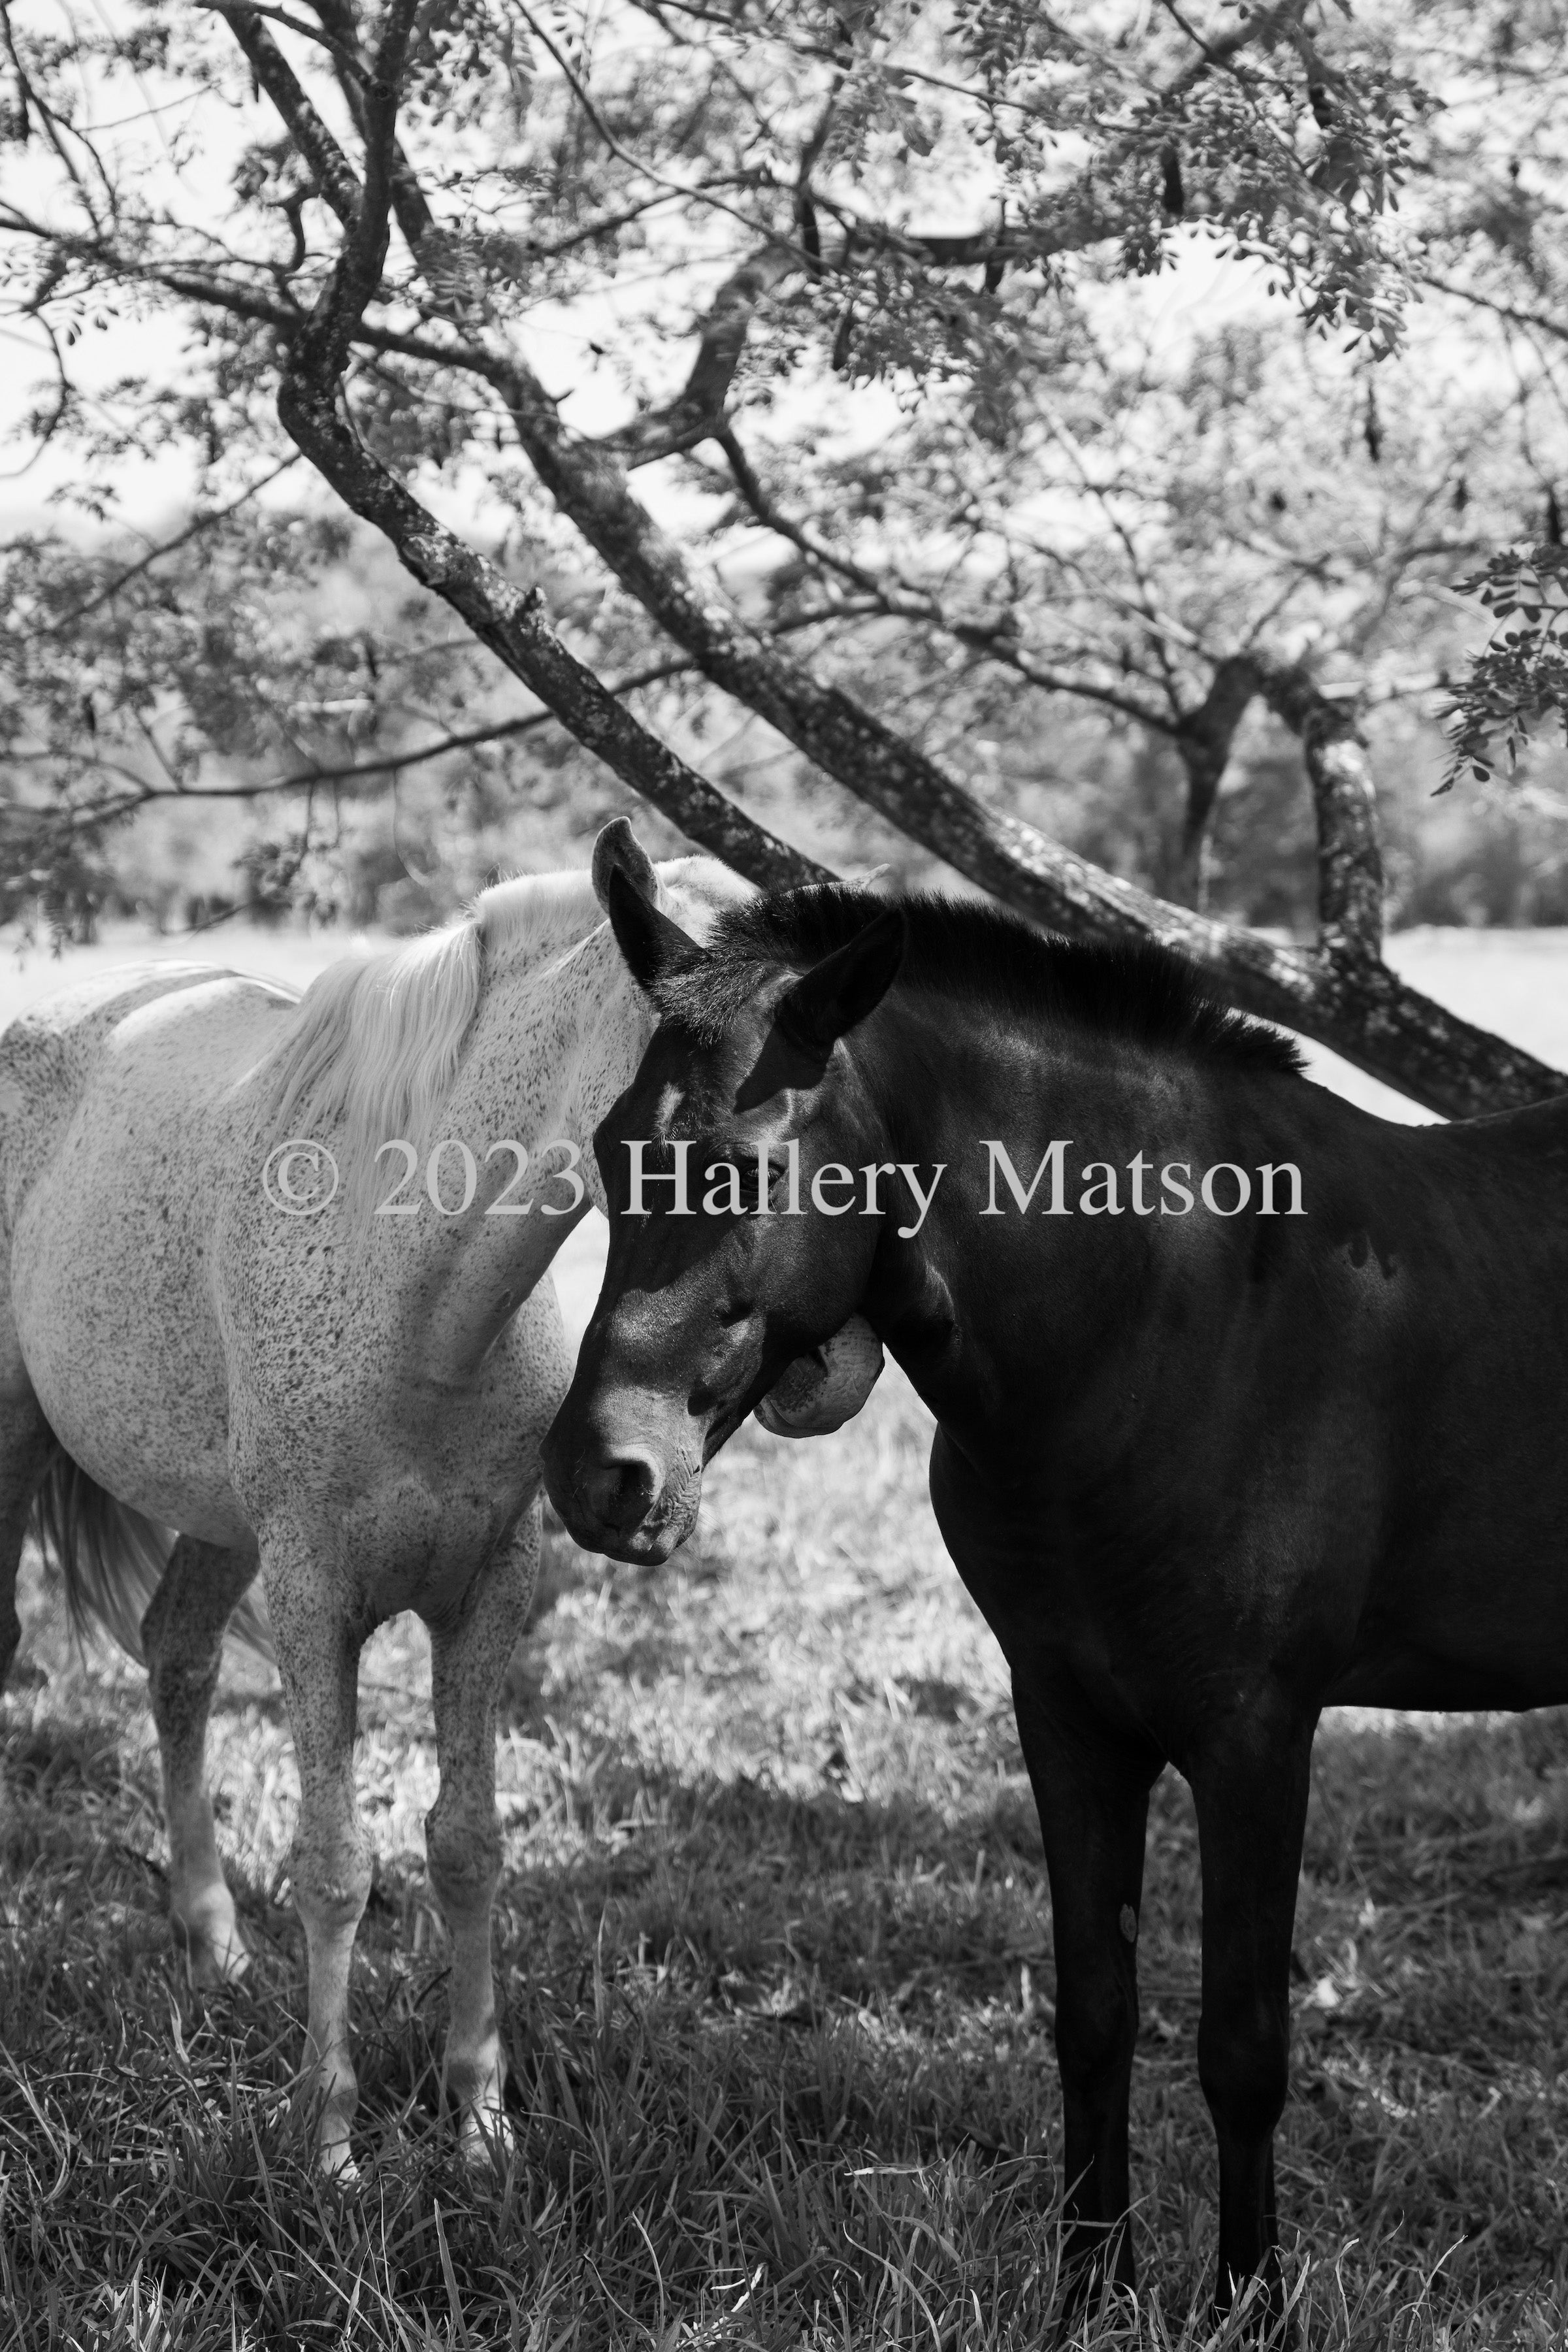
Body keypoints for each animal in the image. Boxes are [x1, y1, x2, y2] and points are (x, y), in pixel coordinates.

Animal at [0, 828, 879, 2164]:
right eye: (720, 1158)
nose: (840, 1375)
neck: (420, 1301)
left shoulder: (485, 1592)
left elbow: (467, 1848)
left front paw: (480, 2124)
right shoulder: (316, 1598)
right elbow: (336, 1862)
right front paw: (330, 2144)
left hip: (218, 1523)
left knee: (178, 1659)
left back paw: (214, 1950)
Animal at [545, 875, 1568, 2323]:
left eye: (745, 1170)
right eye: (607, 1147)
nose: (602, 1477)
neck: (1179, 1306)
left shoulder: (1256, 1737)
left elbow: (1243, 2044)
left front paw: (1247, 2303)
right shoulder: (1070, 1717)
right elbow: (1094, 2016)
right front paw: (1092, 2291)